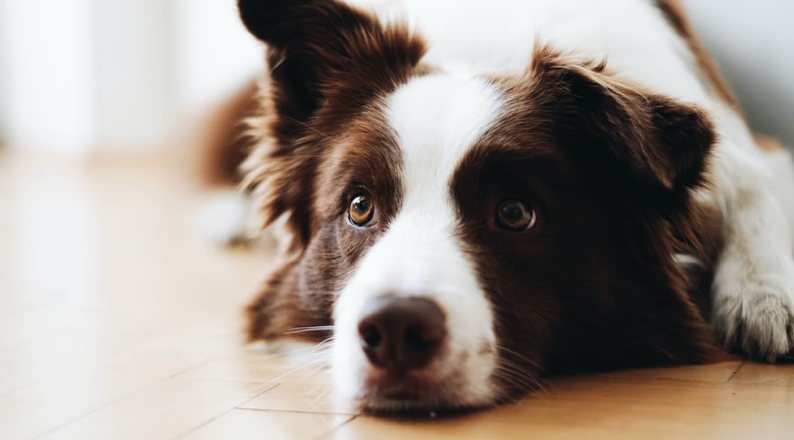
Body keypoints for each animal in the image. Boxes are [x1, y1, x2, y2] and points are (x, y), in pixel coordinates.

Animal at [213, 0, 792, 412]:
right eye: (358, 207)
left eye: (515, 213)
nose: (395, 329)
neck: (487, 55)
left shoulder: (750, 150)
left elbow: (758, 190)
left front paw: (764, 295)